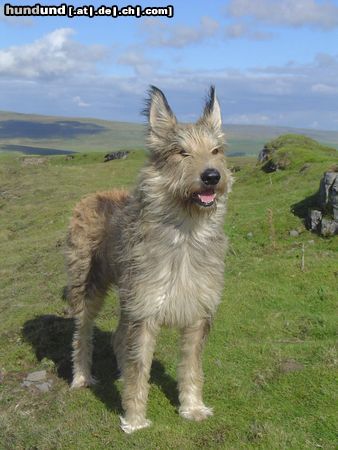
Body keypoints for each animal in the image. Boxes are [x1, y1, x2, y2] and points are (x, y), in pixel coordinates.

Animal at [64, 84, 232, 432]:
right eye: (181, 152)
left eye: (216, 151)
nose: (212, 176)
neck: (185, 234)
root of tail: (91, 195)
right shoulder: (144, 313)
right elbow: (138, 368)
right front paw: (135, 419)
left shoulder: (197, 313)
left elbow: (191, 367)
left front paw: (192, 408)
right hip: (88, 282)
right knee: (82, 331)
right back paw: (82, 377)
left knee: (117, 336)